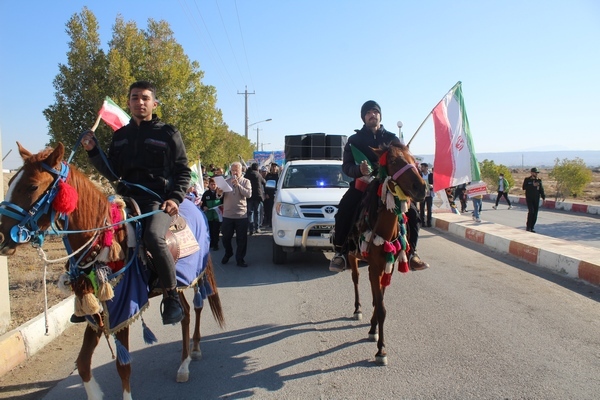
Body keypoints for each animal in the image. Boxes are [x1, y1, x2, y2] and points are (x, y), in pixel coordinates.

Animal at [0, 142, 224, 398]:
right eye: (10, 182)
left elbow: (123, 365)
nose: (2, 236)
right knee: (185, 312)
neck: (102, 239)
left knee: (195, 307)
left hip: (193, 274)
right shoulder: (94, 307)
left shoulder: (123, 307)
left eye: (33, 186)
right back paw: (188, 352)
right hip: (174, 285)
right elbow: (83, 363)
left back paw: (187, 360)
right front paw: (95, 394)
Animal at [344, 143, 424, 366]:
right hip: (353, 256)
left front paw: (374, 331)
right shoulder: (373, 266)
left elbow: (380, 301)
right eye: (394, 161)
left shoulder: (388, 266)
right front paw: (381, 350)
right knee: (355, 279)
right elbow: (381, 308)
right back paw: (357, 309)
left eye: (413, 158)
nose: (422, 188)